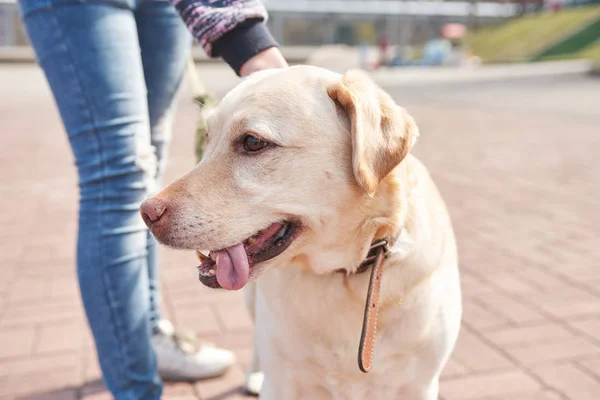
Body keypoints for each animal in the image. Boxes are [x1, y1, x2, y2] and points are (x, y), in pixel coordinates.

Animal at [143, 66, 462, 400]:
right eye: (208, 137)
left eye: (253, 142)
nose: (146, 212)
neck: (341, 273)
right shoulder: (282, 382)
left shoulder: (418, 385)